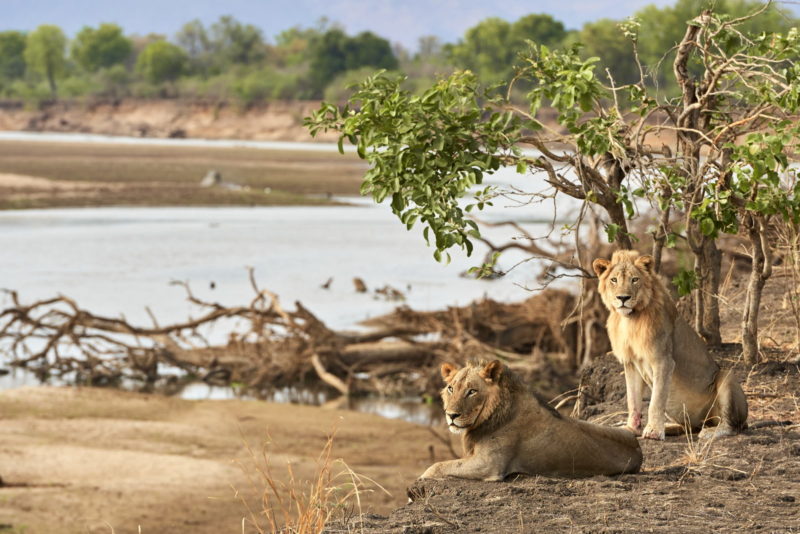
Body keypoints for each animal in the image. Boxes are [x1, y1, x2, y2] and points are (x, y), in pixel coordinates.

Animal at [418, 360, 644, 482]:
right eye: (451, 388)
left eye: (472, 391)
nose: (451, 415)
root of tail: (639, 450)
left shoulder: (489, 464)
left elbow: (436, 467)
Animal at [592, 253, 752, 442]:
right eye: (614, 280)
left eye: (634, 279)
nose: (623, 298)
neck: (629, 320)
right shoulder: (630, 363)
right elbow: (633, 400)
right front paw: (632, 428)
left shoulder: (663, 361)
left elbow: (656, 401)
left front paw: (653, 431)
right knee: (689, 427)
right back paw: (670, 427)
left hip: (726, 377)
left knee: (731, 426)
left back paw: (710, 432)